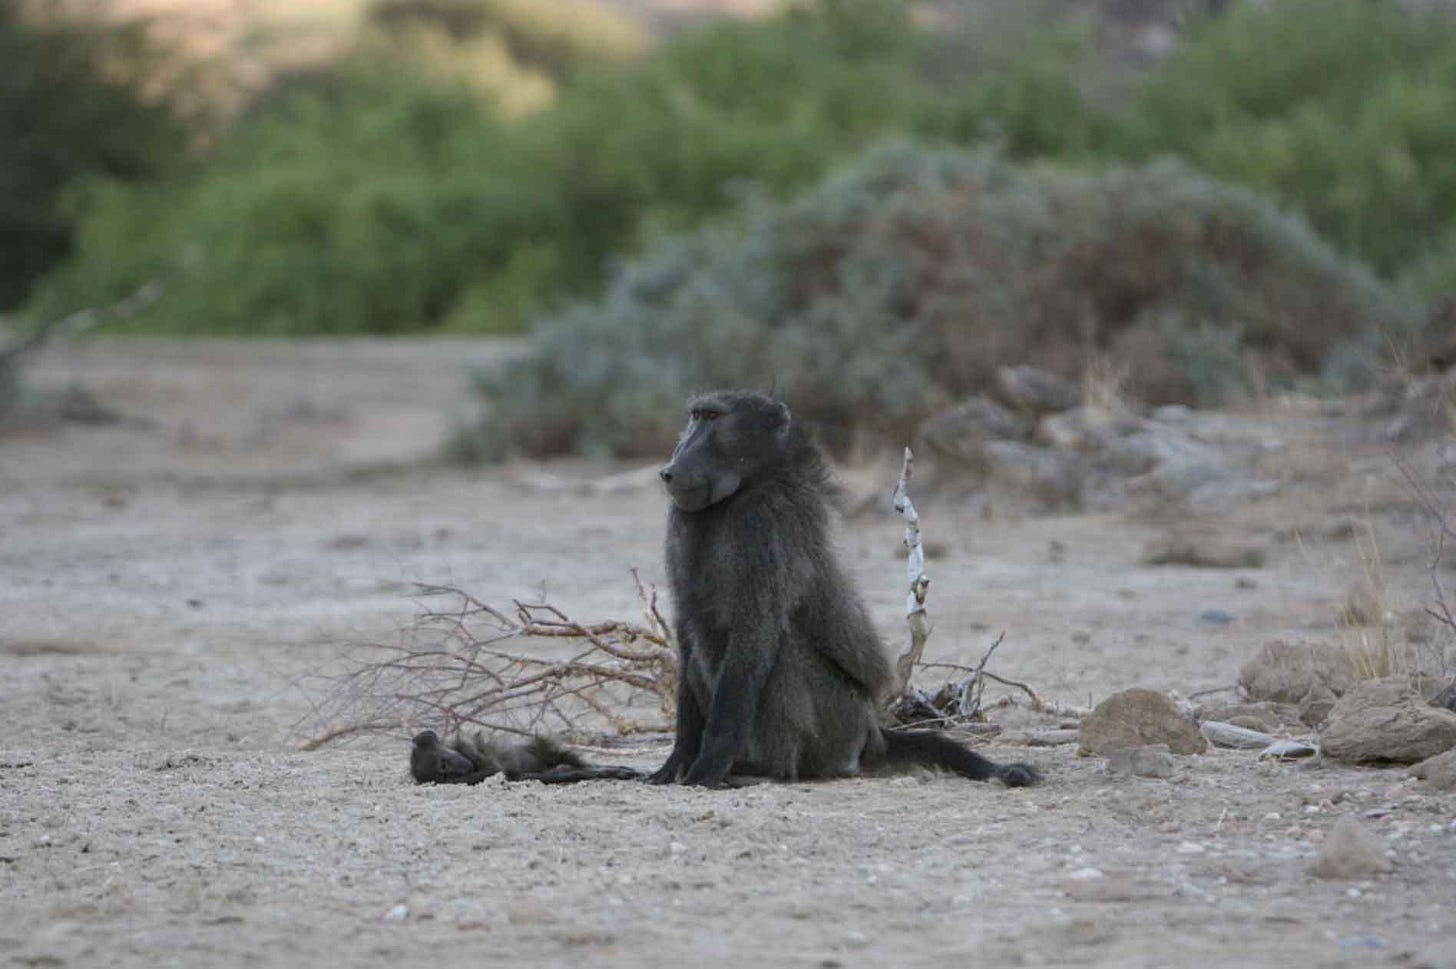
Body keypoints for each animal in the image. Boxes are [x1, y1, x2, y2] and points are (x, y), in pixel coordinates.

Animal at [651, 390, 1038, 789]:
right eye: (695, 417)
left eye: (713, 418)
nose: (669, 469)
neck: (746, 488)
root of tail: (873, 735)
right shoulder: (682, 522)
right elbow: (686, 628)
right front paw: (677, 760)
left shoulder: (769, 518)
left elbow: (756, 630)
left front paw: (708, 765)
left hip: (841, 724)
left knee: (783, 651)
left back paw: (768, 769)